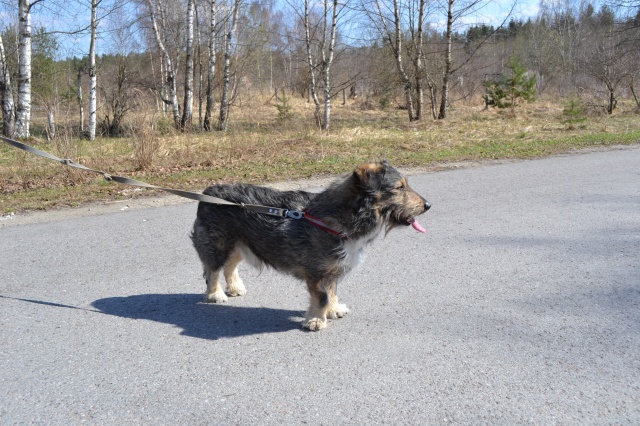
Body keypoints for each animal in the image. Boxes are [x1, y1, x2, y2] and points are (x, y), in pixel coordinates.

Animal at [191, 160, 431, 331]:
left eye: (406, 184)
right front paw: (316, 320)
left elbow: (332, 291)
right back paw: (215, 294)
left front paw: (333, 309)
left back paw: (234, 288)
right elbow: (322, 296)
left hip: (240, 244)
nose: (428, 205)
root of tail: (208, 192)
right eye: (399, 187)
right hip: (219, 244)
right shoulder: (316, 271)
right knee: (213, 270)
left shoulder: (333, 269)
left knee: (230, 266)